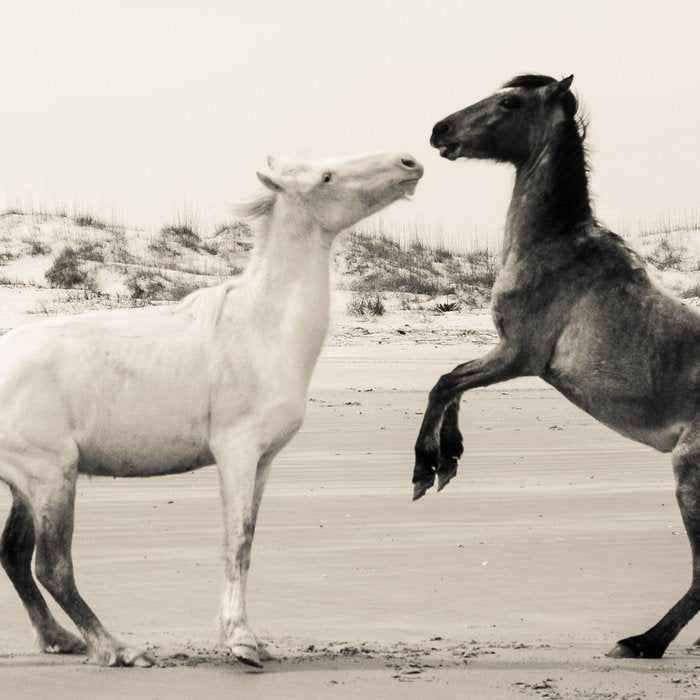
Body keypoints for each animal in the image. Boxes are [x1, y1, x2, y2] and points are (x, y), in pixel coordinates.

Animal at [0, 151, 423, 668]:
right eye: (327, 177)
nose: (410, 162)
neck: (262, 328)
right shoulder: (236, 453)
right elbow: (236, 542)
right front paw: (242, 642)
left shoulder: (263, 461)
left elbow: (248, 541)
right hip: (50, 477)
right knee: (52, 566)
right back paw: (116, 648)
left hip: (28, 484)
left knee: (15, 557)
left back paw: (60, 638)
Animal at [416, 73, 700, 659]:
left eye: (508, 102)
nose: (439, 131)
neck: (553, 247)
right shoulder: (503, 353)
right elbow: (452, 386)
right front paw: (449, 458)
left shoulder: (518, 356)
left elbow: (445, 383)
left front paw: (425, 468)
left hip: (690, 480)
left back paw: (642, 643)